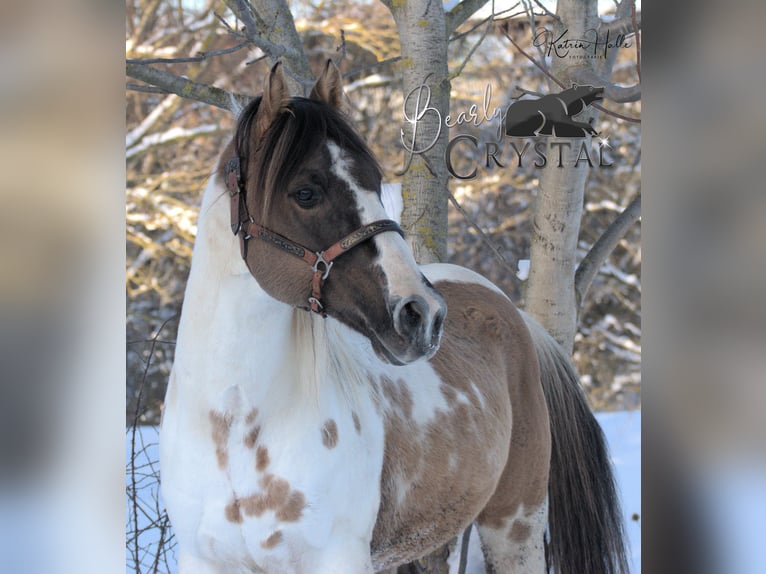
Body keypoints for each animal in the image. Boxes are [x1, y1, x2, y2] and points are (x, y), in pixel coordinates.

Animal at [160, 61, 628, 574]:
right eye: (305, 192)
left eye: (373, 181)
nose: (423, 314)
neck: (237, 425)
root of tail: (514, 313)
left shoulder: (340, 557)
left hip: (515, 525)